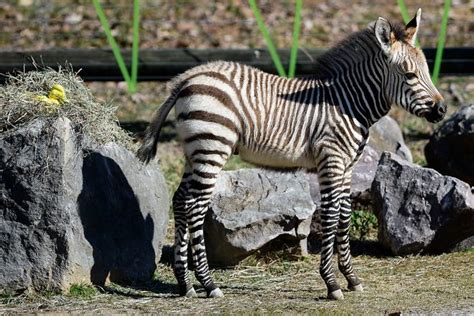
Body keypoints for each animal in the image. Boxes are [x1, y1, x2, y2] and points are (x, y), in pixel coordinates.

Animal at [136, 9, 444, 302]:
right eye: (409, 75)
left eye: (428, 72)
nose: (442, 111)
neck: (348, 103)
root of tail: (189, 77)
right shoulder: (331, 160)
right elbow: (331, 215)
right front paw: (331, 284)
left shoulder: (346, 167)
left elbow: (344, 216)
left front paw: (351, 278)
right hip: (213, 147)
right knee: (195, 207)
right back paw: (208, 284)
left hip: (195, 151)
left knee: (180, 200)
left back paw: (185, 284)